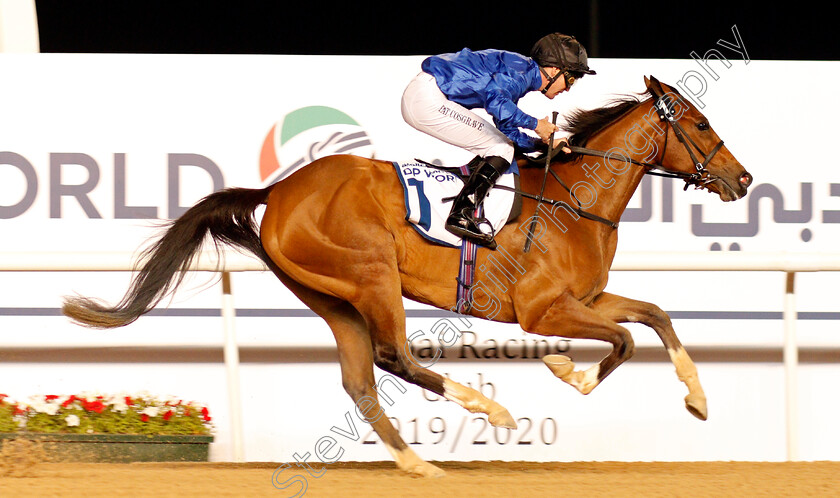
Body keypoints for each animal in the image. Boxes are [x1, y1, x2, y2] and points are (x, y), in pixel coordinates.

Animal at [62, 76, 752, 476]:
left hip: (329, 294)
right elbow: (626, 340)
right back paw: (489, 413)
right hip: (370, 274)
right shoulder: (541, 310)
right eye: (700, 125)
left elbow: (654, 316)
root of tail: (279, 191)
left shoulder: (589, 296)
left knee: (360, 378)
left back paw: (418, 465)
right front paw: (566, 371)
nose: (743, 179)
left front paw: (697, 399)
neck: (572, 201)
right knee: (393, 356)